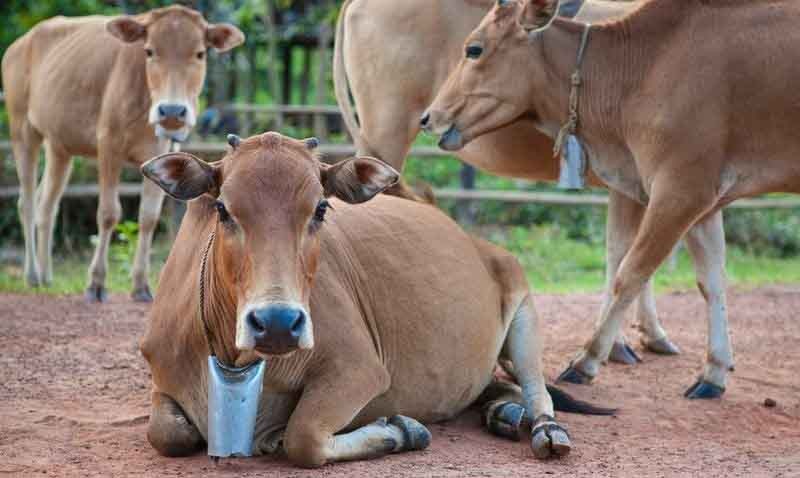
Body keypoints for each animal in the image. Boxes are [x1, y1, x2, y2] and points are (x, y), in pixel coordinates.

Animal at [1, 3, 244, 300]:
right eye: (149, 51)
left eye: (200, 53)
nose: (171, 111)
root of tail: (20, 43)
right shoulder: (109, 147)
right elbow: (108, 213)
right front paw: (96, 283)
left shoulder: (162, 150)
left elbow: (148, 217)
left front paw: (141, 285)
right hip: (22, 131)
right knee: (26, 203)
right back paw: (33, 275)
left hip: (59, 148)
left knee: (46, 204)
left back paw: (47, 276)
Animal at [139, 133, 612, 468]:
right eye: (222, 208)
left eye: (321, 209)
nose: (276, 322)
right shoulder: (163, 375)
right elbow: (166, 434)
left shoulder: (361, 369)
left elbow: (303, 438)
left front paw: (401, 430)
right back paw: (503, 410)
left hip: (523, 303)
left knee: (537, 390)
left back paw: (544, 429)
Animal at [422, 0, 800, 396]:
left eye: (474, 49)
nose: (429, 117)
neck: (647, 64)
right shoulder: (703, 202)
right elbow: (711, 281)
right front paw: (714, 371)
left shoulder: (679, 193)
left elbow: (630, 273)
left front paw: (586, 360)